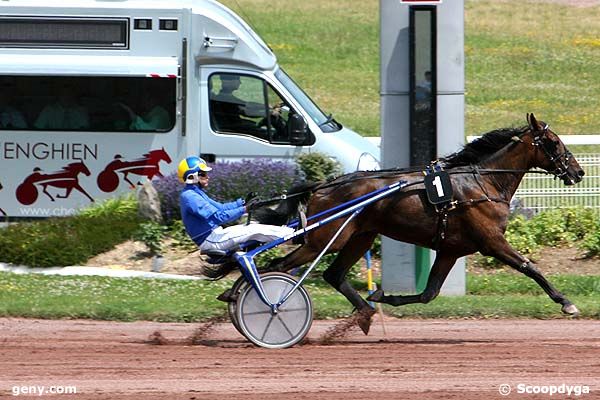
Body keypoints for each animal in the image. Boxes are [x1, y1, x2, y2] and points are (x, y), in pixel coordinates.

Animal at [247, 113, 580, 334]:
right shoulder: (492, 242)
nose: (578, 172)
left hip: (360, 237)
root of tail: (322, 186)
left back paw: (365, 312)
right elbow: (530, 267)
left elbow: (429, 293)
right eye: (553, 142)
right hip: (325, 238)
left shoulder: (451, 250)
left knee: (333, 274)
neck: (483, 183)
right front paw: (566, 302)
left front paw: (382, 295)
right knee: (275, 266)